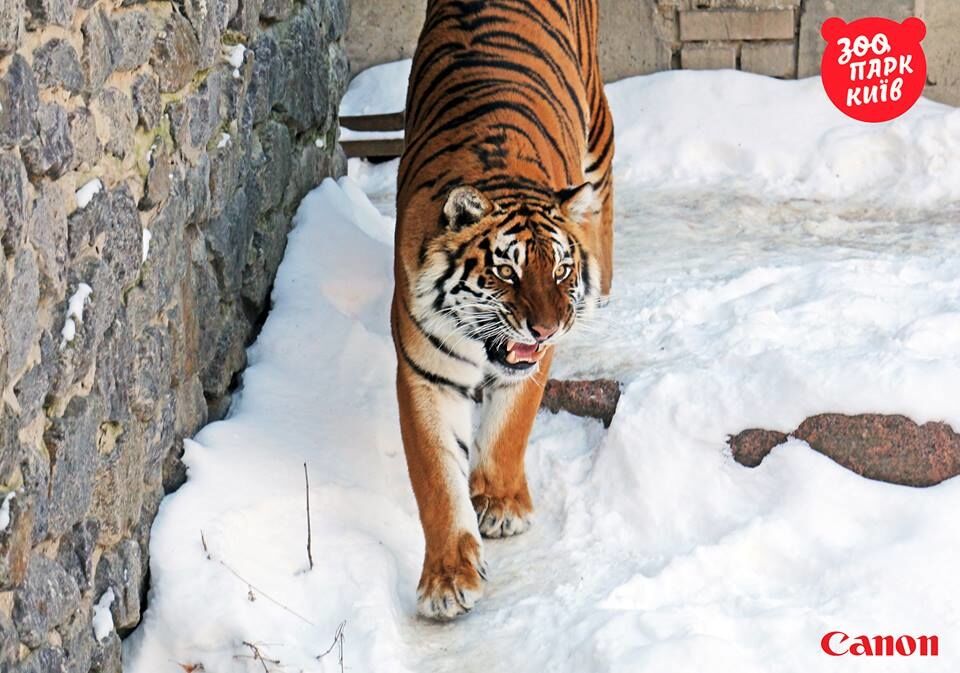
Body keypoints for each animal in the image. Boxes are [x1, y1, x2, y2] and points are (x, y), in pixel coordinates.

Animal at [390, 0, 616, 620]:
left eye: (561, 270)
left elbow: (510, 427)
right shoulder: (425, 372)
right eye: (507, 271)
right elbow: (435, 478)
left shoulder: (531, 363)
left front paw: (501, 504)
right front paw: (447, 579)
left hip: (598, 126)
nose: (546, 327)